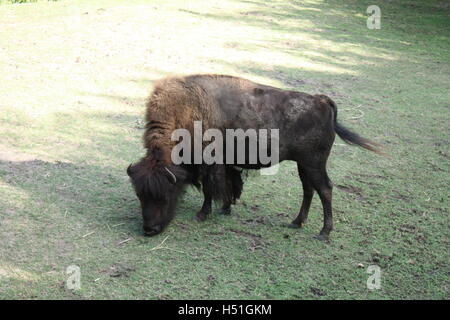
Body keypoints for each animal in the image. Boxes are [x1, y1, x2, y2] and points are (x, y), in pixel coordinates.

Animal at [125, 74, 380, 240]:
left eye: (165, 194)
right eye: (139, 195)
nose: (149, 230)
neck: (186, 110)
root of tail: (322, 100)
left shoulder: (210, 164)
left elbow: (210, 189)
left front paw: (203, 214)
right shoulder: (226, 164)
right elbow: (229, 185)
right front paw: (225, 208)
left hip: (314, 164)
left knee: (325, 189)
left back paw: (323, 233)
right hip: (303, 165)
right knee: (309, 190)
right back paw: (297, 222)